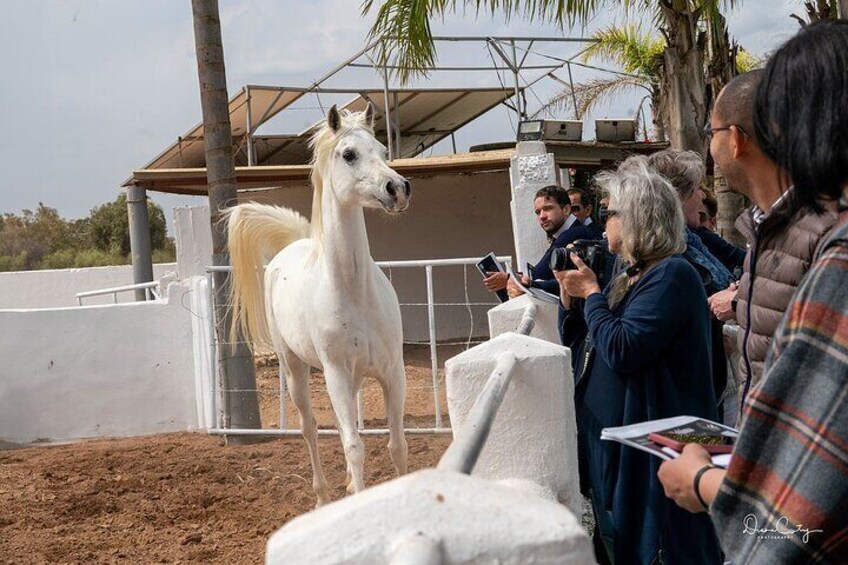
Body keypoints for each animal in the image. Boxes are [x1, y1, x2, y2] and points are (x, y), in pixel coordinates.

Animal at [225, 103, 410, 504]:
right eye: (349, 154)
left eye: (382, 150)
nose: (399, 188)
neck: (356, 293)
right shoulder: (335, 374)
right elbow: (354, 446)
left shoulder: (393, 371)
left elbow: (397, 445)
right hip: (295, 370)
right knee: (309, 429)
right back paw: (323, 495)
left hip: (353, 378)